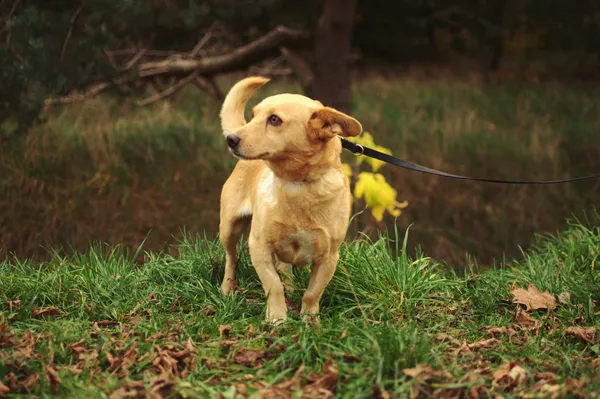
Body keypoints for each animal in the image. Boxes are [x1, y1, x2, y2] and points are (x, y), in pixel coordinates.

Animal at [219, 76, 364, 324]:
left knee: (283, 268)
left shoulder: (328, 258)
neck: (297, 184)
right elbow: (273, 285)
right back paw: (227, 288)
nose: (231, 139)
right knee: (232, 258)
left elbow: (312, 293)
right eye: (254, 115)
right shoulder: (259, 246)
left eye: (274, 120)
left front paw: (310, 320)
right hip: (229, 228)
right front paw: (277, 319)